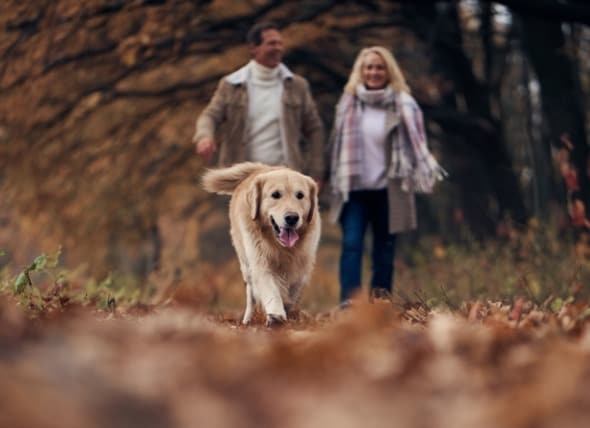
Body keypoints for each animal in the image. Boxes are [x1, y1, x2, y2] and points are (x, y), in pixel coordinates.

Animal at [204, 162, 324, 326]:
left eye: (300, 195)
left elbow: (292, 292)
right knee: (250, 295)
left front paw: (286, 311)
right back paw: (248, 320)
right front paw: (276, 316)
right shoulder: (260, 261)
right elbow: (271, 289)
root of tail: (260, 168)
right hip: (246, 265)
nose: (292, 218)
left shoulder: (301, 266)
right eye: (275, 195)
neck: (282, 247)